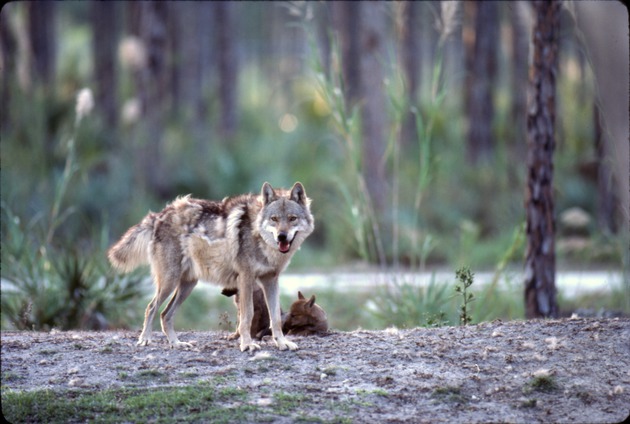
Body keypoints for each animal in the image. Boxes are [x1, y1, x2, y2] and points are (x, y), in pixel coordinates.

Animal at [110, 182, 316, 352]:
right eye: (274, 219)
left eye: (292, 218)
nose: (282, 236)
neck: (259, 237)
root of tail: (159, 214)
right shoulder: (246, 279)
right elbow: (247, 315)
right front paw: (247, 344)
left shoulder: (270, 281)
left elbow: (276, 318)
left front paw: (282, 343)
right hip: (170, 282)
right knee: (151, 308)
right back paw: (145, 339)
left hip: (187, 286)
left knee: (165, 315)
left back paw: (177, 343)